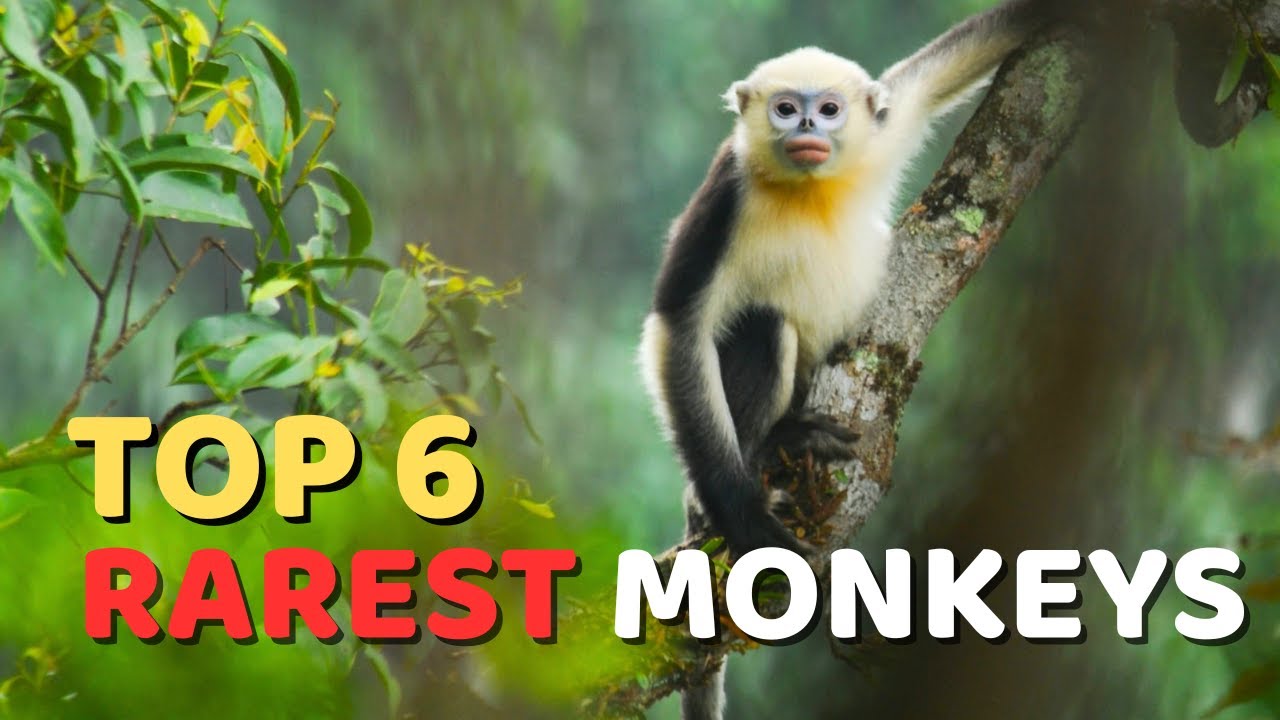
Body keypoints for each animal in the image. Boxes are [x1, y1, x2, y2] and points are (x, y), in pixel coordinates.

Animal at [639, 3, 1055, 713]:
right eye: (785, 108)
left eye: (829, 109)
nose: (806, 125)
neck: (806, 188)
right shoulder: (725, 192)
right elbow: (678, 326)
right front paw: (744, 517)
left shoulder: (880, 130)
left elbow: (944, 65)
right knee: (763, 326)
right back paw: (762, 457)